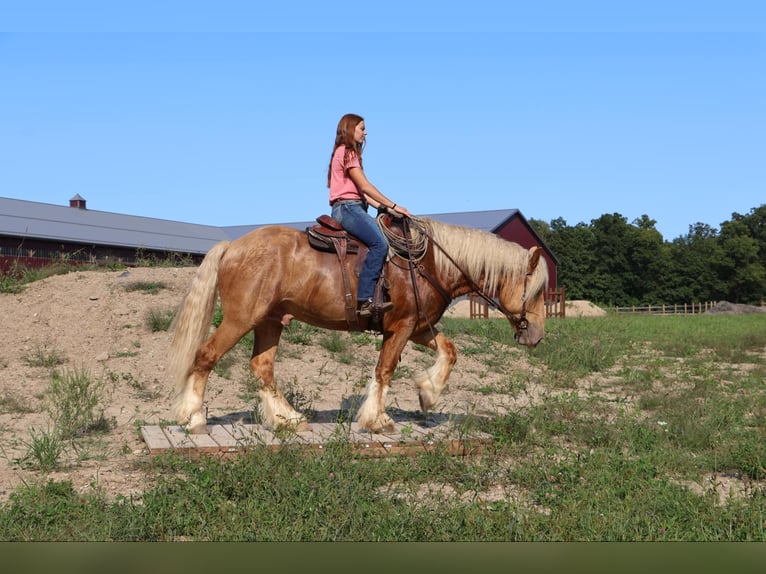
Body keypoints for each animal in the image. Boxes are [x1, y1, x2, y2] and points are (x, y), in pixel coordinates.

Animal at [168, 215, 552, 432]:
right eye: (534, 292)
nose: (536, 336)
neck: (427, 263)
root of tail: (232, 246)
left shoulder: (418, 328)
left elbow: (450, 351)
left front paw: (428, 393)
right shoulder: (402, 327)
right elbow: (385, 371)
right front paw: (377, 420)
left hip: (270, 321)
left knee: (262, 367)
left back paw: (287, 418)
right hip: (241, 319)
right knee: (206, 356)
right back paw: (194, 419)